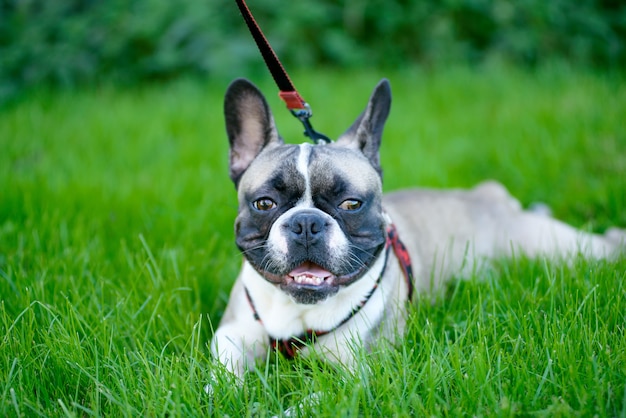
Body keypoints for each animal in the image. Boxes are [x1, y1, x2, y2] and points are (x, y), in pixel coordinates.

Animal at [211, 76, 624, 378]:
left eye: (351, 204)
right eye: (265, 203)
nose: (306, 223)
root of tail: (489, 195)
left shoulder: (359, 375)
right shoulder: (233, 334)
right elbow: (219, 379)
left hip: (558, 248)